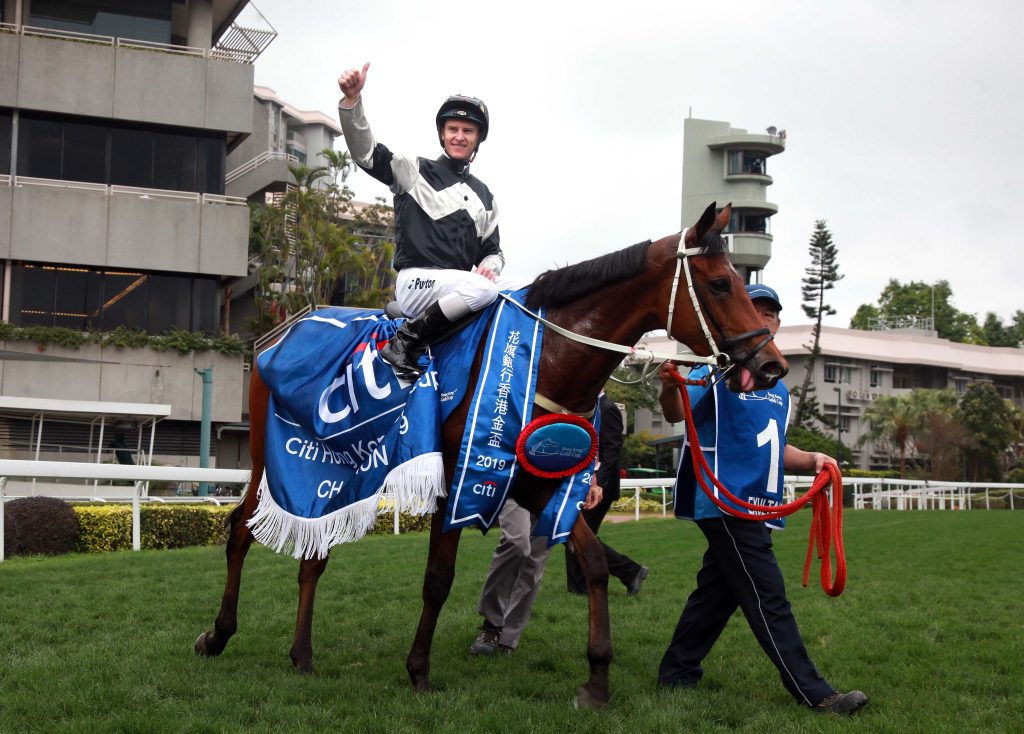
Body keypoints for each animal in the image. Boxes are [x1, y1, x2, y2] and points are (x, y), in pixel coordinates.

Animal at [193, 203, 782, 708]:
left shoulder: (541, 481)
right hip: (271, 454)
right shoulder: (457, 482)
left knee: (315, 553)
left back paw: (302, 654)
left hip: (337, 470)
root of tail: (288, 328)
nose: (771, 363)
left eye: (740, 282)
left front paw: (596, 677)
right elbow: (438, 579)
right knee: (241, 530)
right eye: (721, 283)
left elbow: (592, 562)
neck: (545, 358)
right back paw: (218, 635)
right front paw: (419, 670)